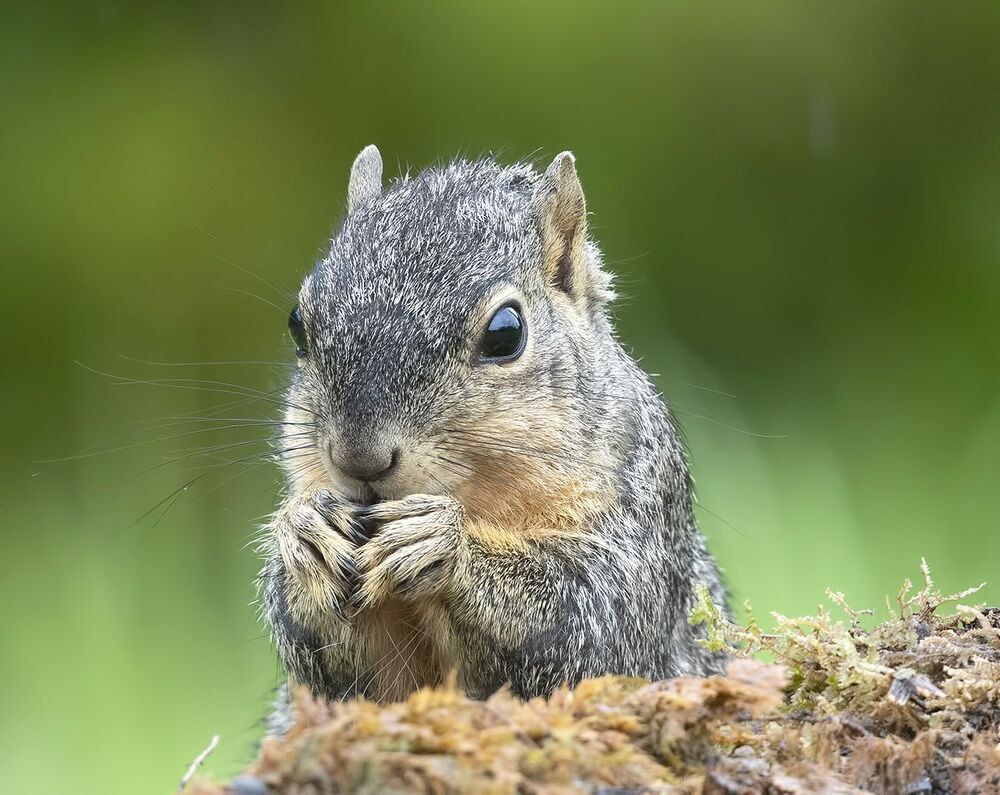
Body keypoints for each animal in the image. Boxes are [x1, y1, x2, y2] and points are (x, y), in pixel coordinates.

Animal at [259, 145, 729, 733]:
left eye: (506, 333)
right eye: (298, 323)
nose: (360, 460)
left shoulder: (641, 529)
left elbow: (590, 625)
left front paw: (444, 542)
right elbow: (343, 676)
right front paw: (305, 534)